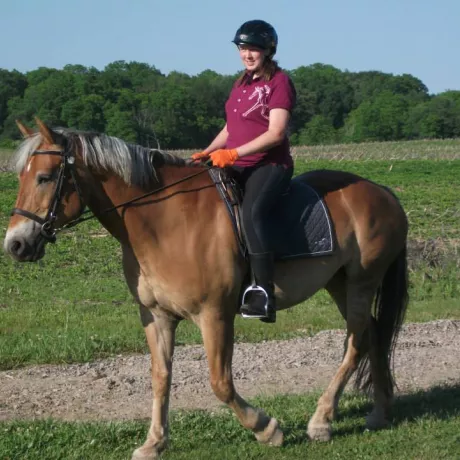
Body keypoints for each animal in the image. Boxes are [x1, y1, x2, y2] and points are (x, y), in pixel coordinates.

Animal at [2, 119, 406, 460]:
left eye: (44, 177)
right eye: (20, 176)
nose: (15, 245)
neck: (164, 222)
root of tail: (382, 191)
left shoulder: (214, 315)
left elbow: (220, 383)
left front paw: (266, 429)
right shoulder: (157, 316)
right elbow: (160, 378)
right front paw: (154, 442)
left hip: (361, 281)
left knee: (357, 341)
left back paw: (321, 421)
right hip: (339, 283)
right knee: (374, 333)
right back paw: (379, 412)